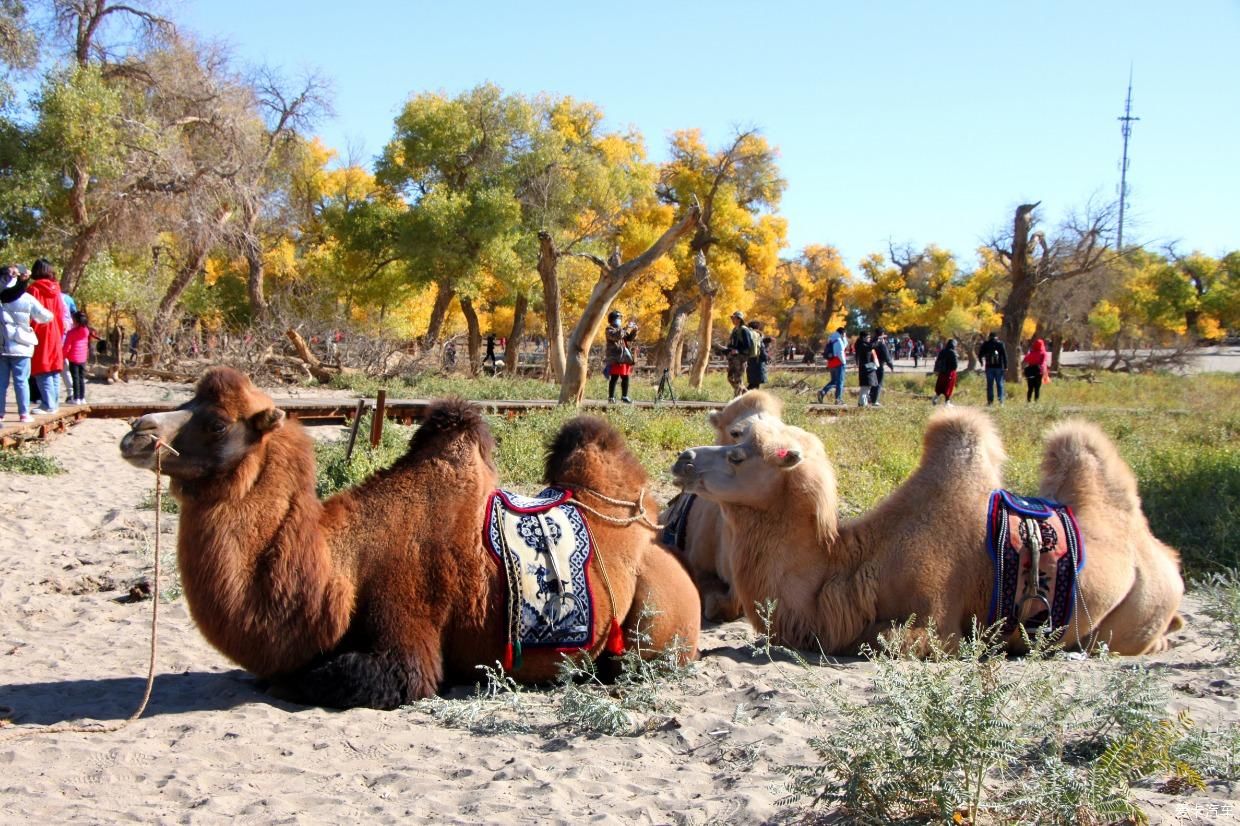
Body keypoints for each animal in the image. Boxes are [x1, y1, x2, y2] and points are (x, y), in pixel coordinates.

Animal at [120, 367, 704, 709]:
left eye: (218, 423)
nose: (136, 432)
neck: (340, 568)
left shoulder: (406, 627)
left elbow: (347, 677)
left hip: (657, 626)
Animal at [674, 406, 1185, 654]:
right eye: (734, 435)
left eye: (739, 455)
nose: (684, 458)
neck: (856, 563)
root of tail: (1164, 555)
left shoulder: (941, 620)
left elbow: (883, 638)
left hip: (1138, 606)